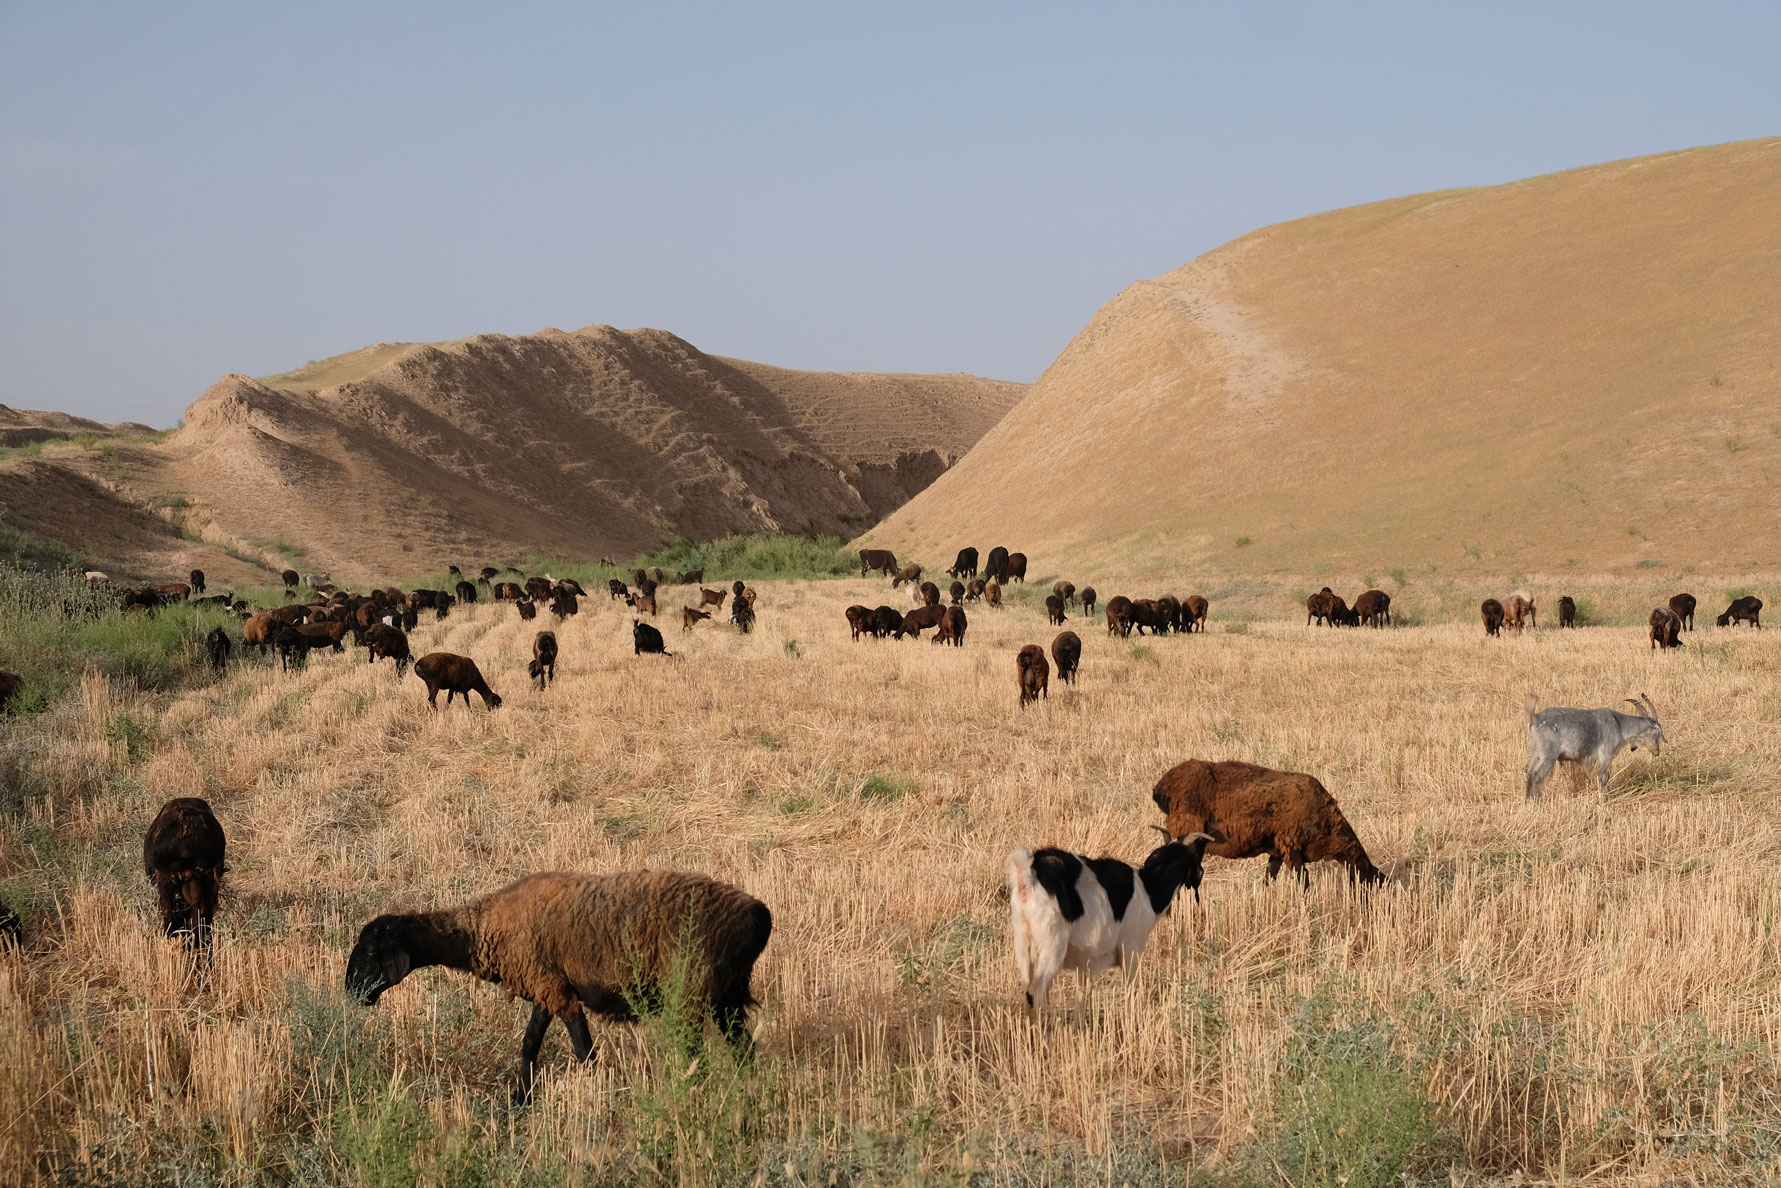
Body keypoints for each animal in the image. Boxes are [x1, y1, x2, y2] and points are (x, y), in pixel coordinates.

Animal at [343, 869, 769, 1104]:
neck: (484, 927)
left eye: (372, 951)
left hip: (693, 996)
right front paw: (519, 1104)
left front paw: (600, 1103)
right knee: (743, 1051)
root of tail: (759, 916)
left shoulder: (562, 996)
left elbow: (585, 1054)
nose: (350, 993)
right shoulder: (546, 990)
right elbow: (529, 1045)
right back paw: (748, 1095)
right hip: (727, 999)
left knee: (695, 1053)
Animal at [1011, 826, 1218, 1011]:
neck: (1149, 891)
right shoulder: (1130, 949)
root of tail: (1028, 874)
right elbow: (1132, 989)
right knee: (1035, 994)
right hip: (1052, 946)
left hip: (1023, 943)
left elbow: (1082, 997)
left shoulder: (1084, 962)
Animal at [1154, 758, 1389, 886]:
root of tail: (1162, 786)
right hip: (1189, 835)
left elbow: (1268, 881)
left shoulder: (1276, 853)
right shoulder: (1291, 847)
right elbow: (1304, 882)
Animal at [1524, 691, 1659, 805]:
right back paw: (1538, 803)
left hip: (1535, 753)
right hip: (1548, 754)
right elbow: (1603, 778)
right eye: (1657, 732)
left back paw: (1528, 802)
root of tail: (1535, 717)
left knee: (1529, 773)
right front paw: (1603, 802)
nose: (1657, 751)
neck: (1619, 725)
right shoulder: (1605, 757)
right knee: (1537, 775)